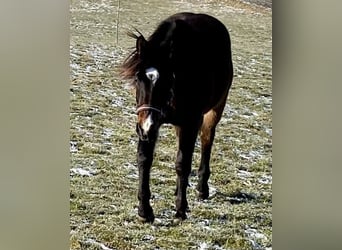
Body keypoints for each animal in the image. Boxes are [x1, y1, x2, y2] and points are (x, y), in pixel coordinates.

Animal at [120, 12, 232, 222]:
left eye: (167, 80)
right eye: (138, 78)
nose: (145, 127)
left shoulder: (190, 122)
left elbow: (182, 163)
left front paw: (180, 208)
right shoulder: (151, 124)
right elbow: (144, 159)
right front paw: (145, 210)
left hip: (214, 110)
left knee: (207, 140)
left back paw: (201, 189)